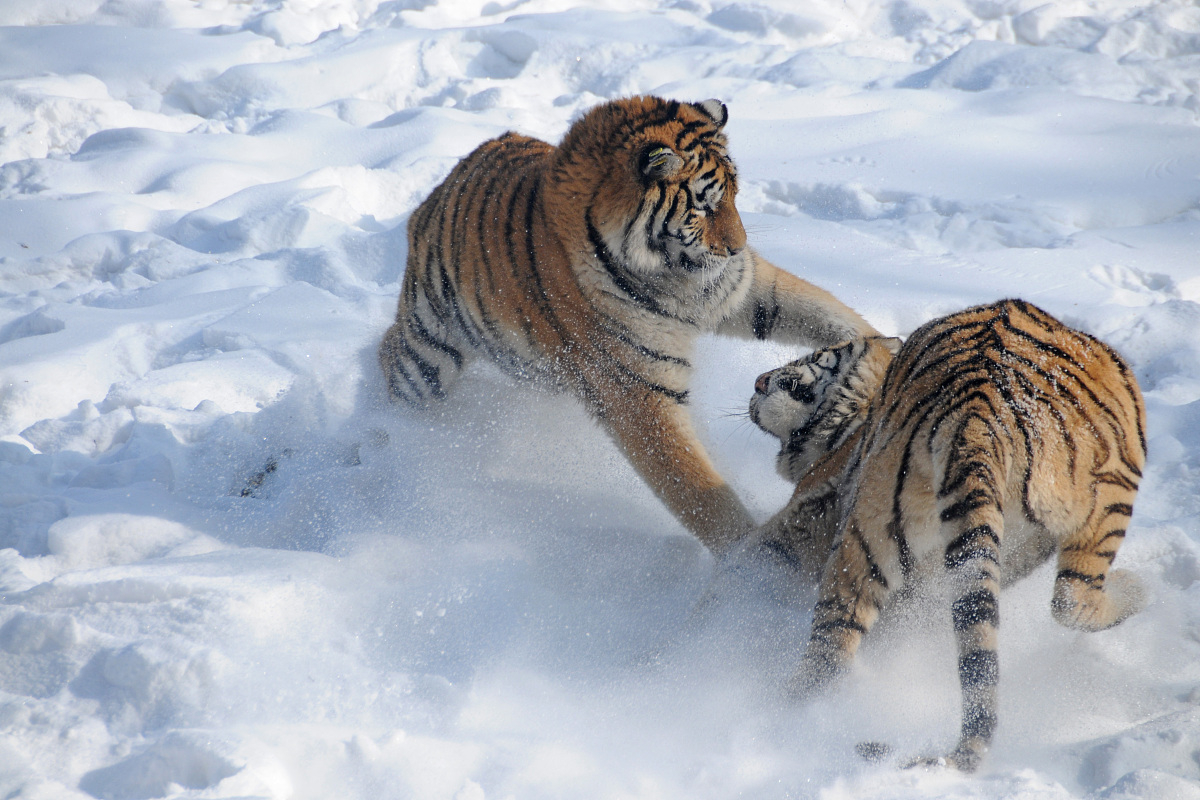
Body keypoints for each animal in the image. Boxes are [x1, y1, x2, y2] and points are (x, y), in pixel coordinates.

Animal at [379, 94, 878, 551]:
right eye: (705, 205)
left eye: (737, 196)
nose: (738, 248)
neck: (672, 274)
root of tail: (439, 189)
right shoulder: (637, 388)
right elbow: (698, 491)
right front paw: (743, 563)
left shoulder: (739, 288)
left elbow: (820, 309)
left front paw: (878, 354)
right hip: (427, 354)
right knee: (390, 355)